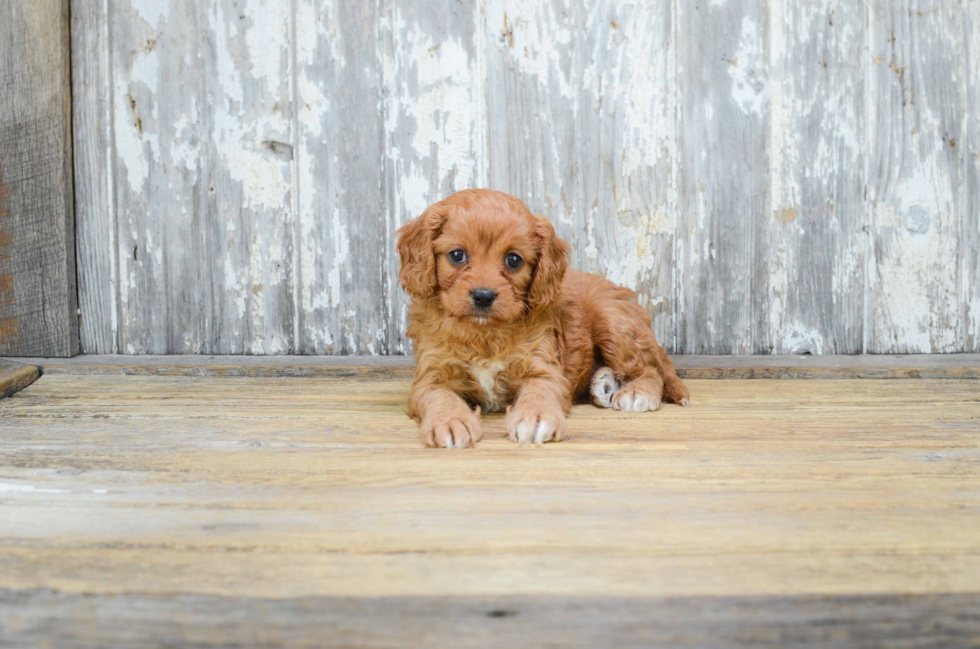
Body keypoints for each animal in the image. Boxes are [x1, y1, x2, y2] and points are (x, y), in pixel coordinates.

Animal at [398, 190, 688, 448]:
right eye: (457, 255)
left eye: (513, 260)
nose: (483, 296)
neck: (484, 333)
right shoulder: (430, 376)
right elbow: (439, 396)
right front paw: (449, 420)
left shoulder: (543, 369)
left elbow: (539, 392)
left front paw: (535, 418)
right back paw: (605, 384)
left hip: (613, 321)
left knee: (651, 370)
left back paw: (635, 392)